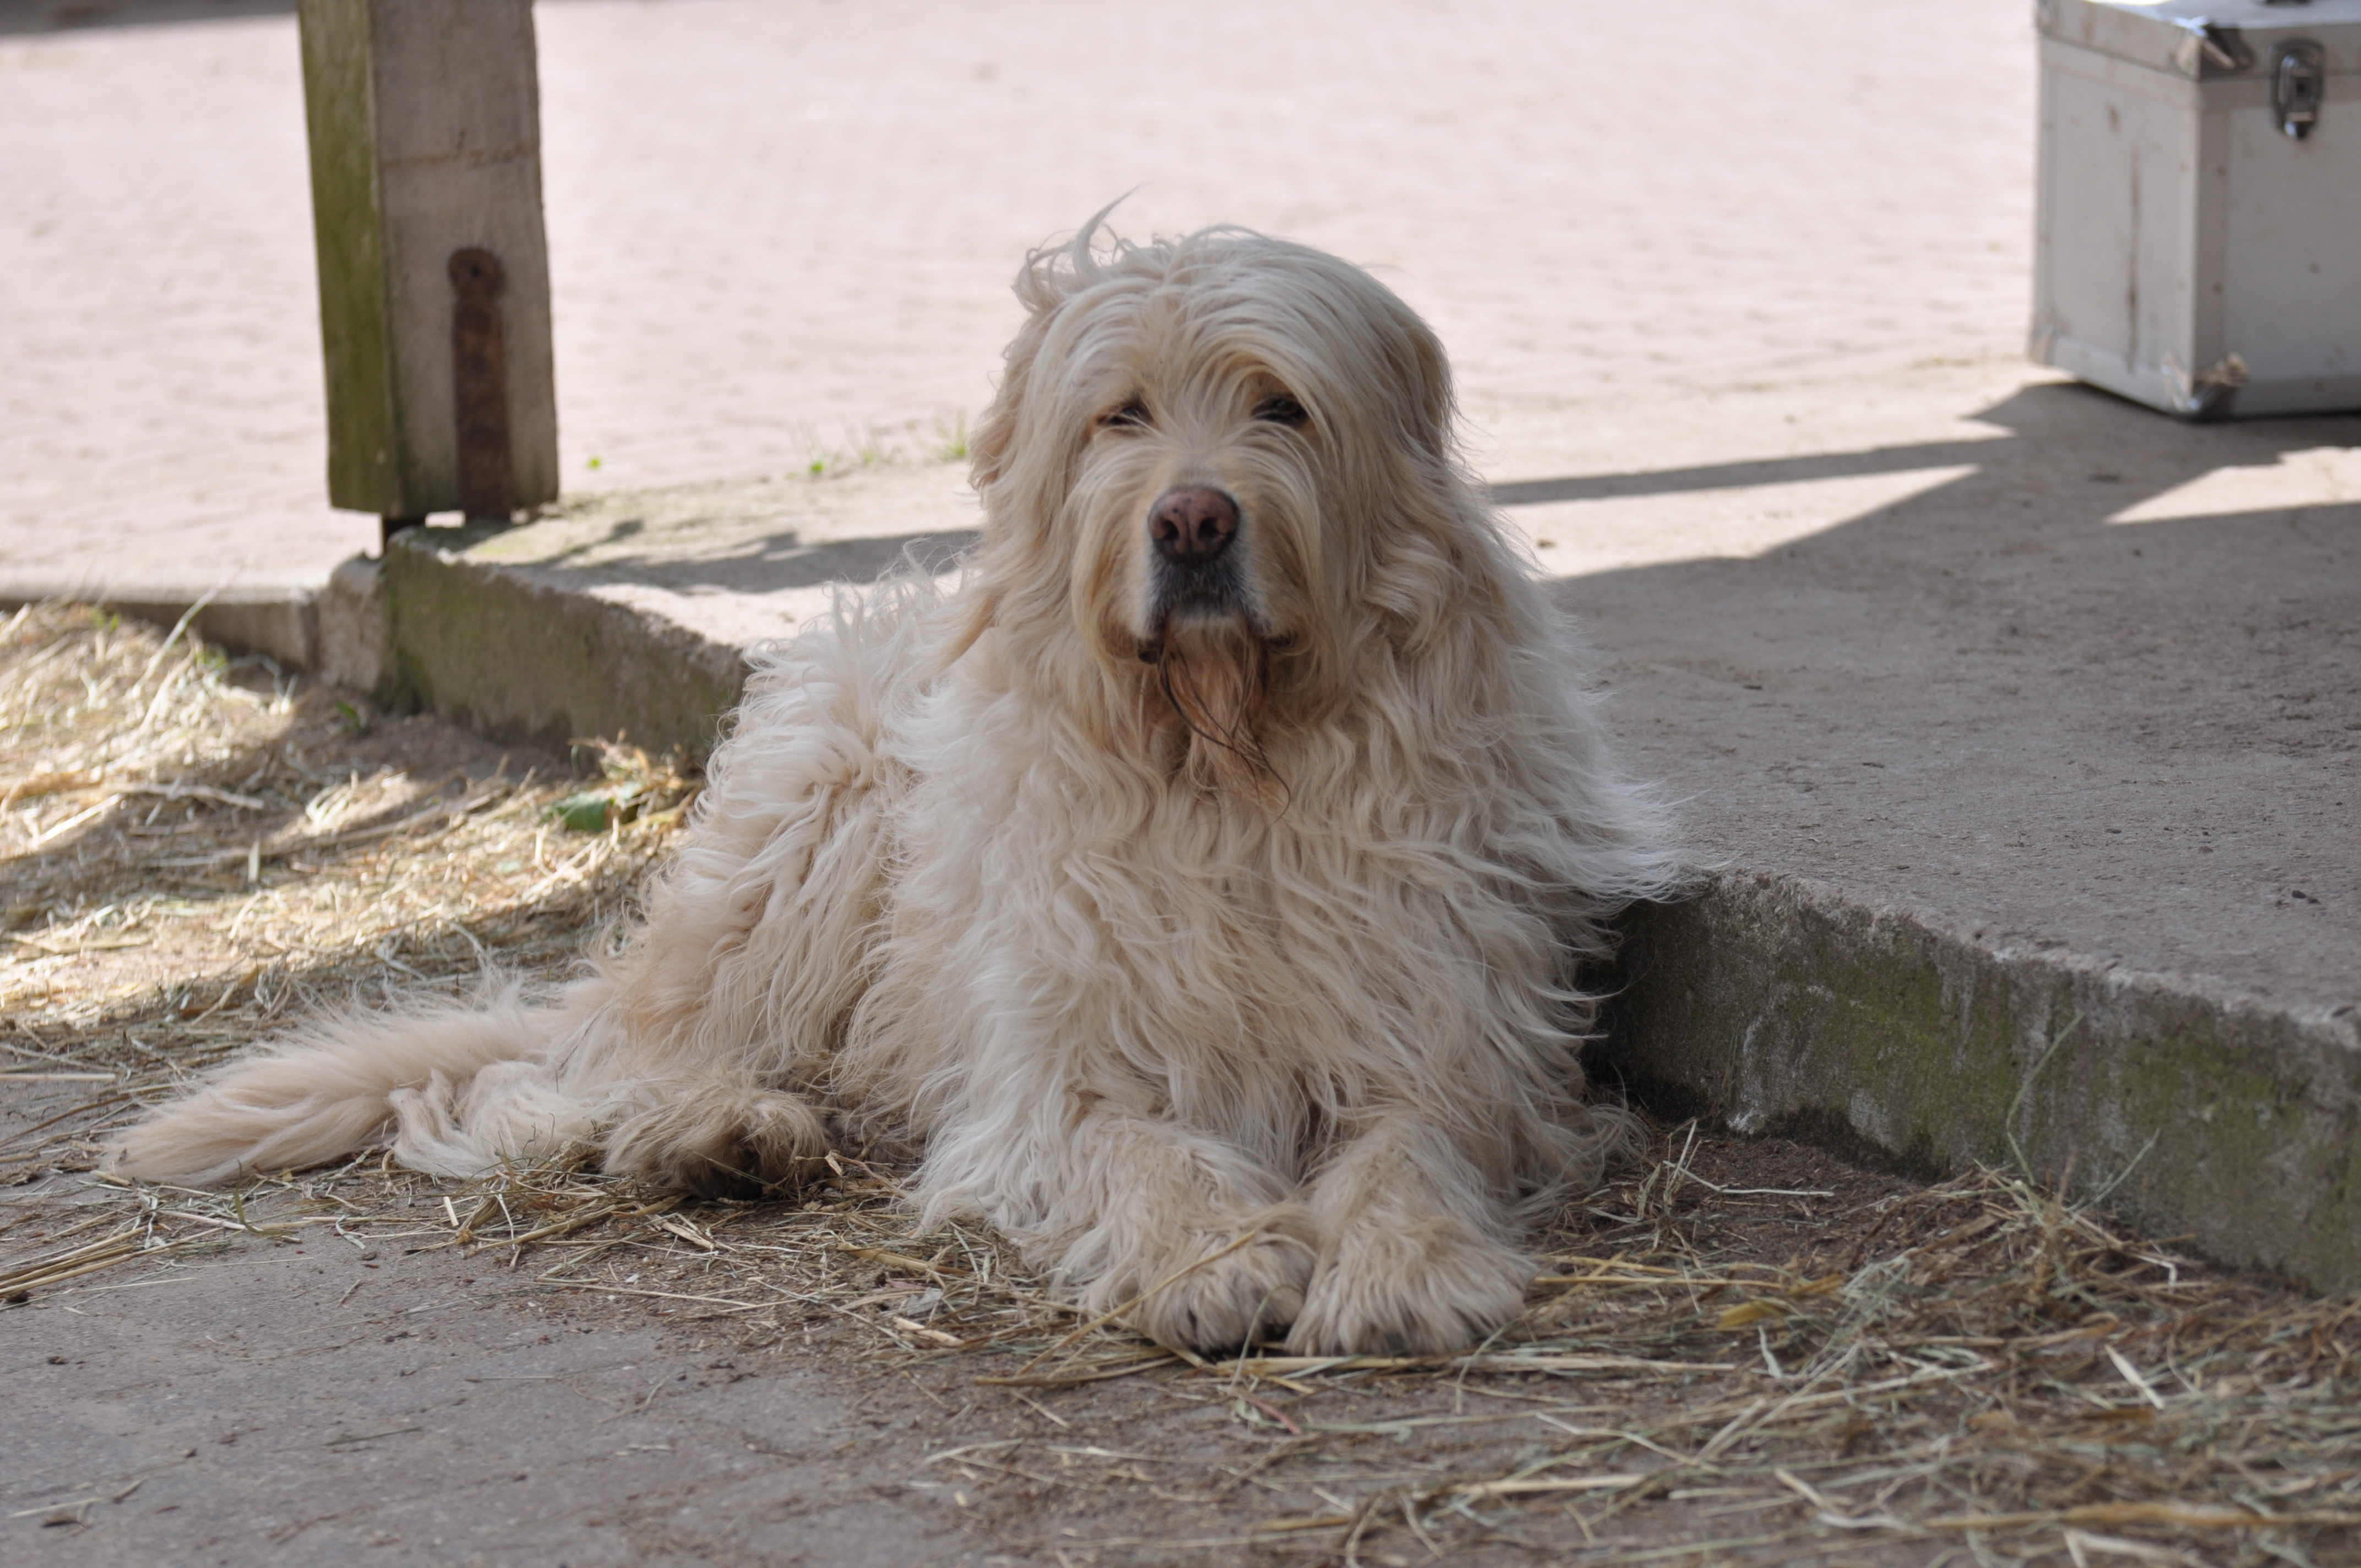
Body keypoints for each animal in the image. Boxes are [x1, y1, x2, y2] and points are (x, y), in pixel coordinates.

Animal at [111, 223, 1681, 1360]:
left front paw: (1405, 1265)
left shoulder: (1449, 1029)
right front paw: (1215, 1255)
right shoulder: (1051, 1066)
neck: (1227, 766)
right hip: (814, 829)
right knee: (561, 1078)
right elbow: (1133, 1146)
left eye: (1281, 406)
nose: (1192, 518)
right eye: (1118, 417)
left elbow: (1412, 1143)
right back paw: (710, 1132)